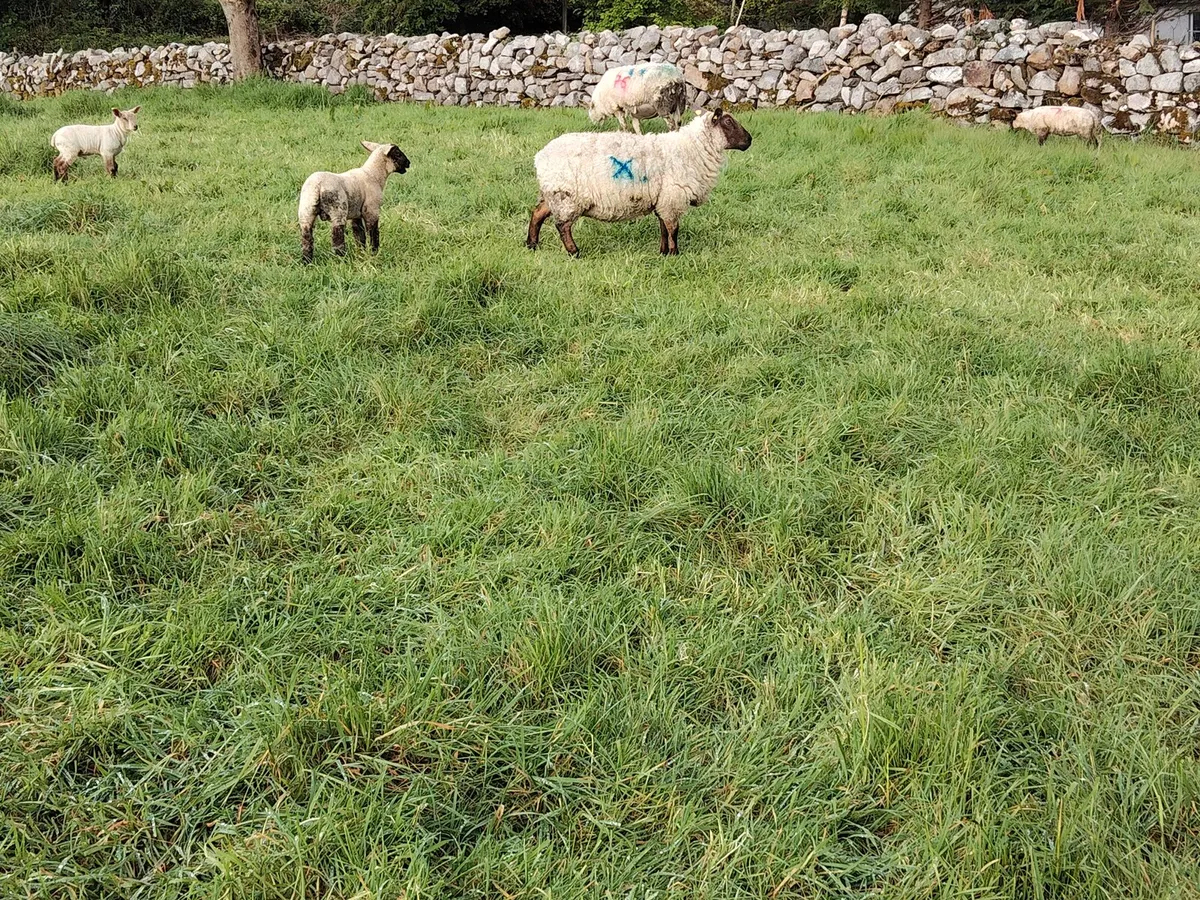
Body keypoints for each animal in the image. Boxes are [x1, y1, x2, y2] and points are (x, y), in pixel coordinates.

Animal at [526, 107, 751, 257]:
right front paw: (675, 254)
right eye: (728, 122)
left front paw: (663, 252)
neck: (692, 148)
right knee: (562, 226)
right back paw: (574, 252)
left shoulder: (664, 199)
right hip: (567, 196)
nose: (749, 140)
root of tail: (540, 156)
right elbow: (673, 229)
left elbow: (663, 227)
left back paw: (532, 244)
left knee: (537, 214)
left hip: (554, 192)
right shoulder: (673, 198)